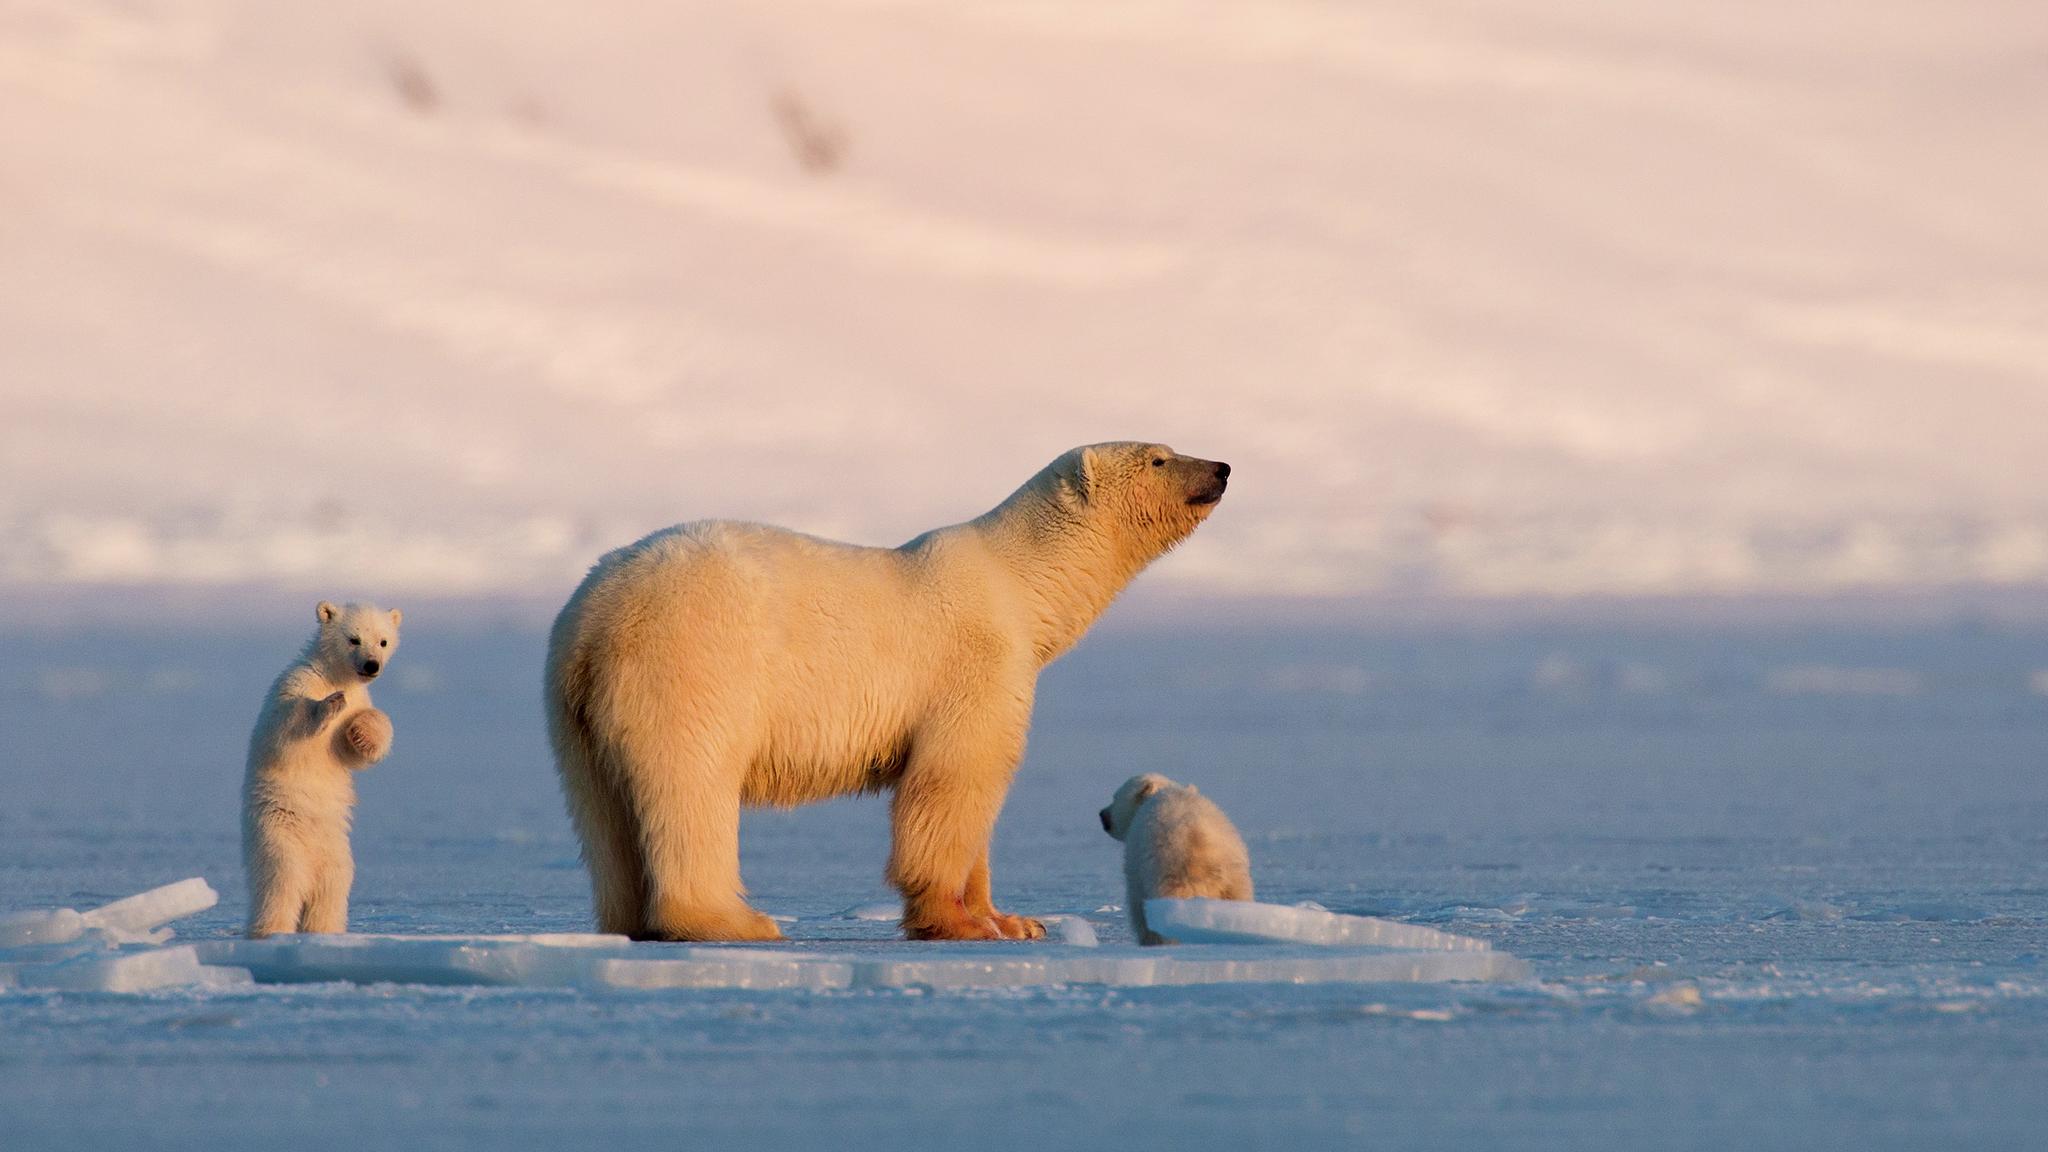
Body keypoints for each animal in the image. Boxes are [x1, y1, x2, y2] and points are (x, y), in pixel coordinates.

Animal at [243, 600, 401, 938]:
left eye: (383, 641)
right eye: (354, 639)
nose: (372, 665)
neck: (334, 675)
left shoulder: (360, 697)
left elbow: (353, 750)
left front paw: (362, 731)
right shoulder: (296, 682)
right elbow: (284, 726)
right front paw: (330, 703)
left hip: (336, 851)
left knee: (330, 890)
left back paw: (325, 930)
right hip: (278, 834)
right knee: (281, 884)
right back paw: (270, 930)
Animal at [546, 441, 1230, 942]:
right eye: (1159, 457)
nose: (1222, 468)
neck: (1019, 583)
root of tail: (594, 619)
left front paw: (1015, 920)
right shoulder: (974, 664)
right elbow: (953, 783)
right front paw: (960, 923)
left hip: (574, 710)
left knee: (602, 814)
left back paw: (630, 921)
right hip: (694, 663)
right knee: (692, 784)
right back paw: (735, 921)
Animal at [1099, 773, 1254, 945]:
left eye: (1114, 797)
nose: (1102, 814)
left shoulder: (1136, 863)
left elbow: (1138, 906)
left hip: (1170, 873)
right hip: (1233, 880)